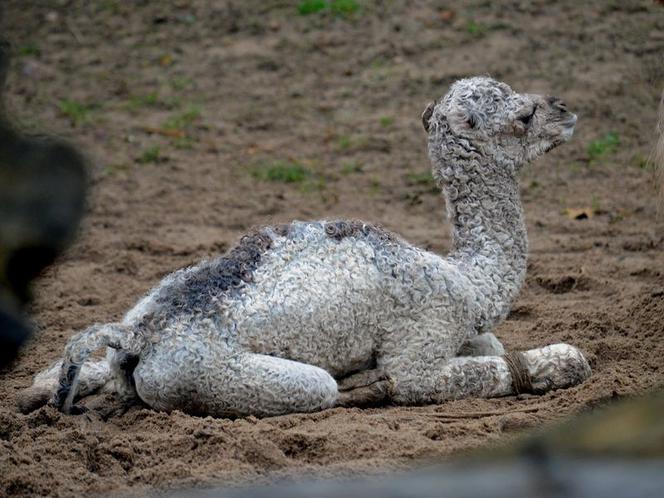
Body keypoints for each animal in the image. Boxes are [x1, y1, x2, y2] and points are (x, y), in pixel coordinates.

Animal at [18, 77, 592, 416]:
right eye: (522, 116)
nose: (566, 110)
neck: (469, 280)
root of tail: (140, 333)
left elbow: (492, 345)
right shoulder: (421, 337)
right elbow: (447, 374)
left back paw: (39, 392)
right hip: (211, 375)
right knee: (321, 389)